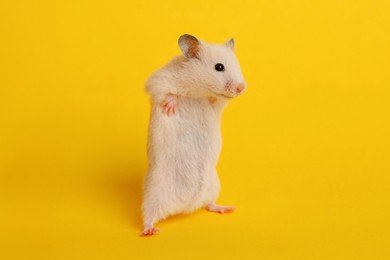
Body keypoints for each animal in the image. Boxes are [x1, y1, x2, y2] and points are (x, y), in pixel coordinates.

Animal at [142, 34, 245, 236]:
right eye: (219, 67)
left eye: (237, 65)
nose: (241, 87)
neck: (199, 91)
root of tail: (186, 206)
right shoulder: (159, 79)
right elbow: (165, 91)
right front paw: (170, 107)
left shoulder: (217, 105)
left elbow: (214, 102)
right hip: (153, 192)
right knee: (149, 215)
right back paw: (149, 230)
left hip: (213, 185)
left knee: (210, 204)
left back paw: (226, 208)